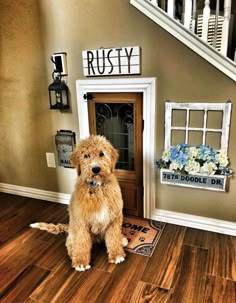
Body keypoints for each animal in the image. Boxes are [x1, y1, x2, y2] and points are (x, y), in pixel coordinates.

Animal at [31, 137, 128, 272]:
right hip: (73, 231)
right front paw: (81, 262)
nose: (96, 169)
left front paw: (117, 255)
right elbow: (81, 241)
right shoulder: (81, 221)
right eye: (86, 155)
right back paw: (74, 254)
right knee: (71, 244)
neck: (97, 187)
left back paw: (122, 239)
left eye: (101, 154)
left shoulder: (114, 218)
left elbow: (113, 237)